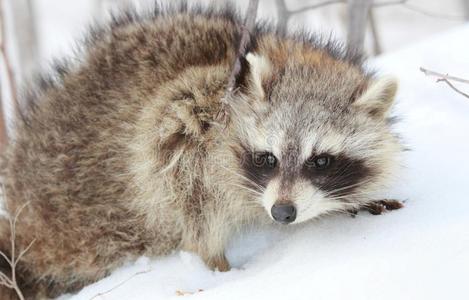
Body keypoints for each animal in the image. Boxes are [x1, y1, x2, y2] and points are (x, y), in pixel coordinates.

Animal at [0, 2, 402, 300]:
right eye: (267, 158)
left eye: (321, 160)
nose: (283, 212)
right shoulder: (200, 123)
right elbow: (191, 185)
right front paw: (217, 264)